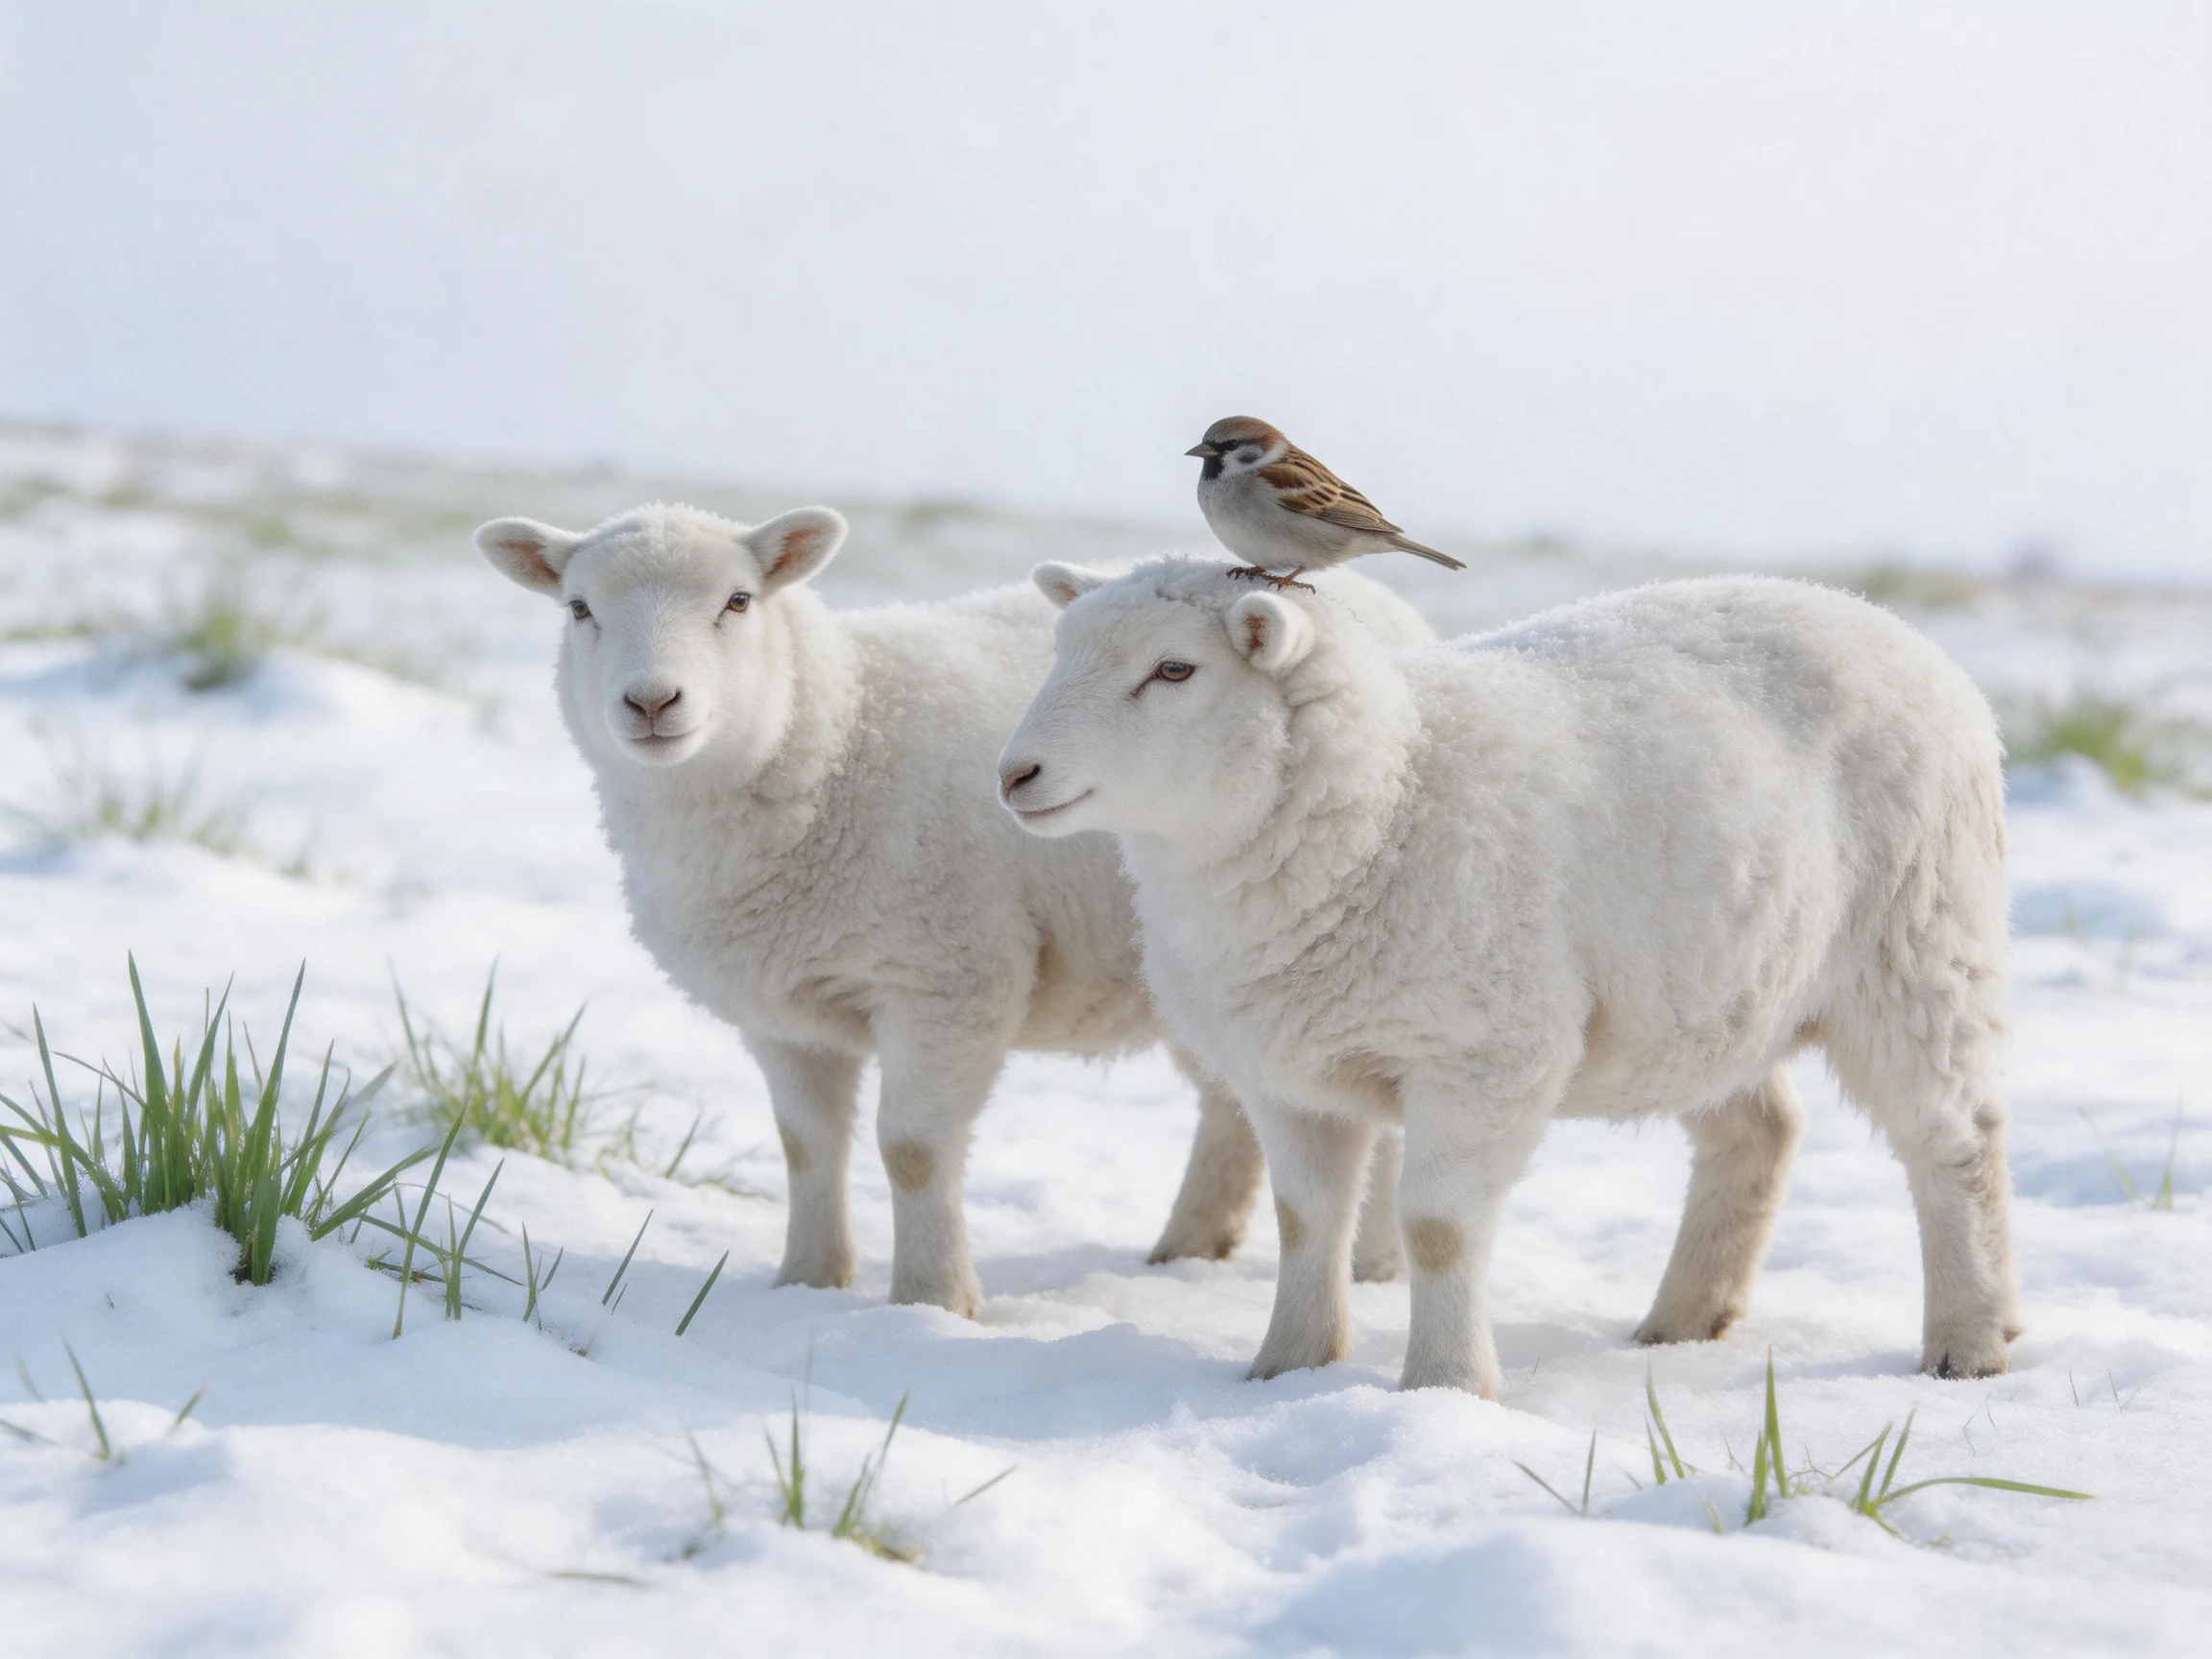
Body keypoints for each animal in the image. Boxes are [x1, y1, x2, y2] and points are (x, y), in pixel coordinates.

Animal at [475, 506, 1430, 1313]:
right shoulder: (784, 1011)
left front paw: (932, 1301)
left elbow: (912, 1150)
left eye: (738, 601)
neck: (836, 735)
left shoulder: (947, 977)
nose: (651, 702)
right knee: (1230, 1103)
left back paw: (1375, 1266)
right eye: (578, 608)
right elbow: (805, 1148)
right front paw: (807, 1284)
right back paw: (1189, 1246)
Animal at [999, 559, 2019, 1394]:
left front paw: (1445, 1387)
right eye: (1062, 650)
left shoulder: (1483, 1053)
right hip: (1707, 994)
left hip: (1917, 943)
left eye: (1174, 670)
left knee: (1956, 1138)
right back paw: (1683, 1321)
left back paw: (1969, 1339)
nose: (1014, 775)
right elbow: (1304, 1221)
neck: (1388, 793)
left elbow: (1438, 1228)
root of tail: (1891, 625)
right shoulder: (1288, 1075)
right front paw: (1284, 1370)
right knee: (1759, 1132)